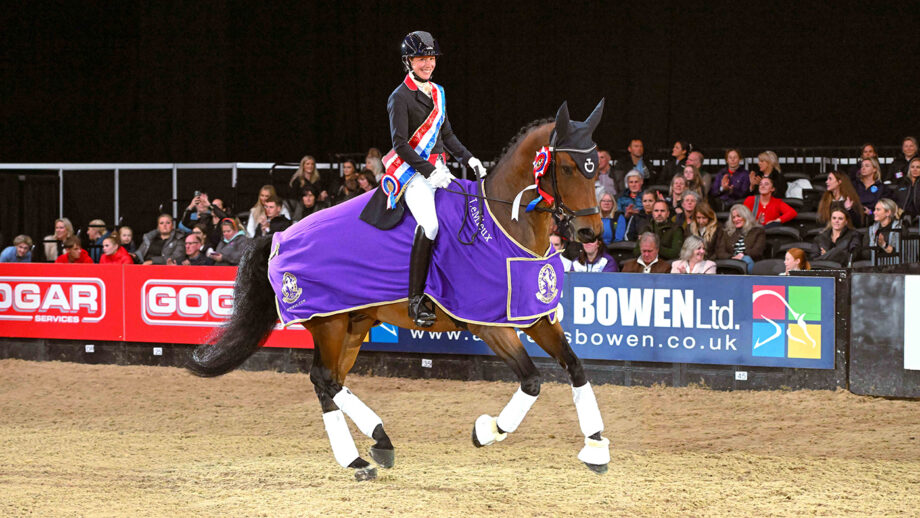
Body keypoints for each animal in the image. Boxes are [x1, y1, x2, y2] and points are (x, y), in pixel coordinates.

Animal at [187, 101, 612, 484]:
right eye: (569, 167)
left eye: (597, 167)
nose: (590, 232)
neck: (502, 225)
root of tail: (278, 237)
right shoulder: (490, 325)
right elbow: (531, 381)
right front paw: (487, 430)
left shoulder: (534, 316)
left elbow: (575, 367)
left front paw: (595, 448)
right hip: (328, 322)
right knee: (324, 379)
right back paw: (370, 447)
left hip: (354, 324)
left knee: (329, 382)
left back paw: (367, 453)